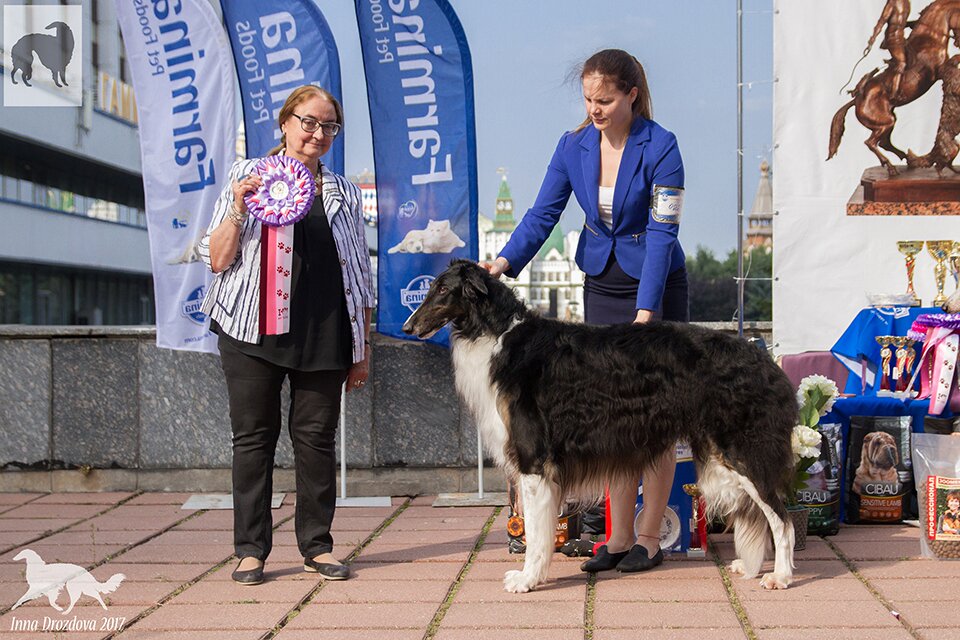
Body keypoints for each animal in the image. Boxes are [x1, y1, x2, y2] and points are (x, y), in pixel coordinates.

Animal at [403, 260, 798, 592]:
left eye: (443, 289)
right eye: (431, 286)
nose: (408, 326)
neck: (498, 335)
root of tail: (765, 359)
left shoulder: (534, 463)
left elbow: (536, 534)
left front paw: (528, 579)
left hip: (744, 453)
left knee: (782, 520)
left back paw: (780, 576)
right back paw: (751, 568)